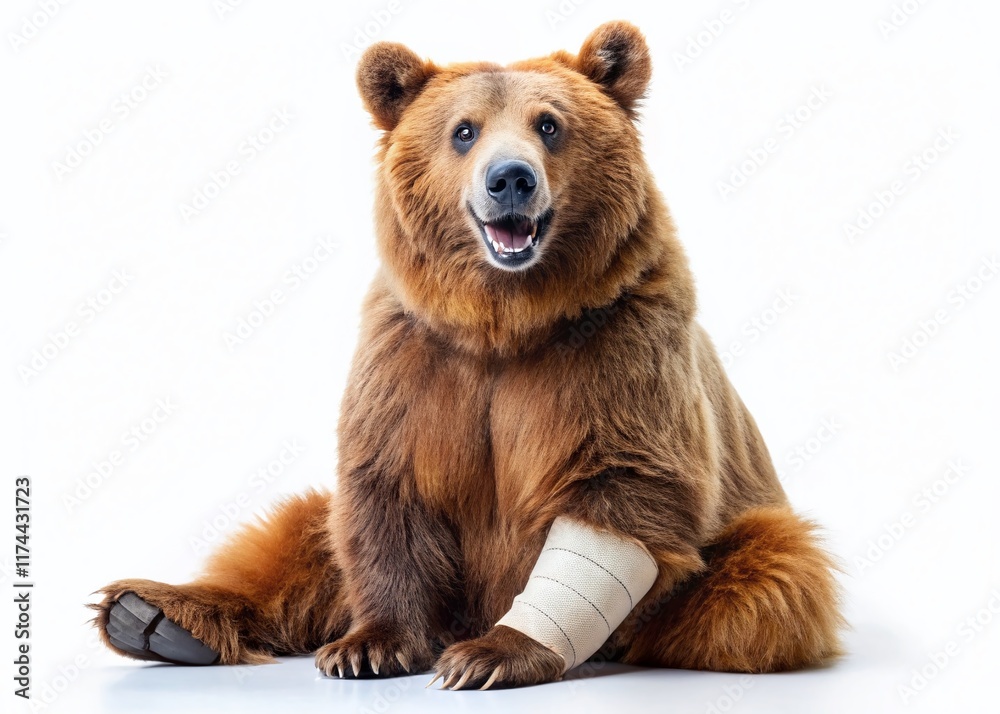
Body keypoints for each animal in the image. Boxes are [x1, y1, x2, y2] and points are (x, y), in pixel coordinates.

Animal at [91, 21, 844, 689]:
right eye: (464, 130)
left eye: (549, 124)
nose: (510, 178)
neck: (504, 320)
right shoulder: (413, 357)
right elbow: (385, 491)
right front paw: (369, 646)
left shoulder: (621, 340)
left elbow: (619, 487)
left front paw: (490, 655)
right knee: (298, 533)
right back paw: (152, 614)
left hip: (745, 539)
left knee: (765, 587)